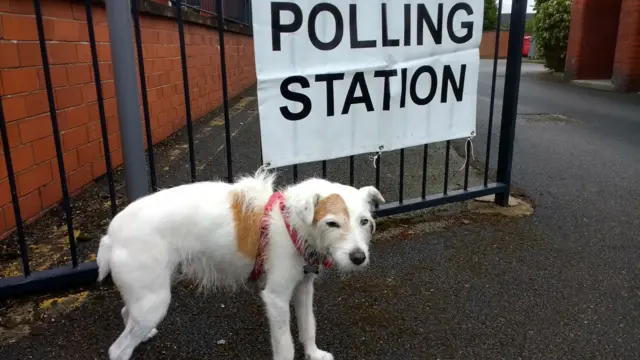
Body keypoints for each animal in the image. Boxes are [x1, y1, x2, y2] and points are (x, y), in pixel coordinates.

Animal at [95, 169, 384, 360]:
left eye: (364, 221)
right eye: (331, 223)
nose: (359, 258)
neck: (291, 222)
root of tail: (111, 235)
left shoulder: (303, 287)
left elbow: (308, 326)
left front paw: (314, 354)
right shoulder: (276, 297)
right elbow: (285, 344)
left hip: (146, 299)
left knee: (127, 314)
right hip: (154, 300)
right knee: (117, 350)